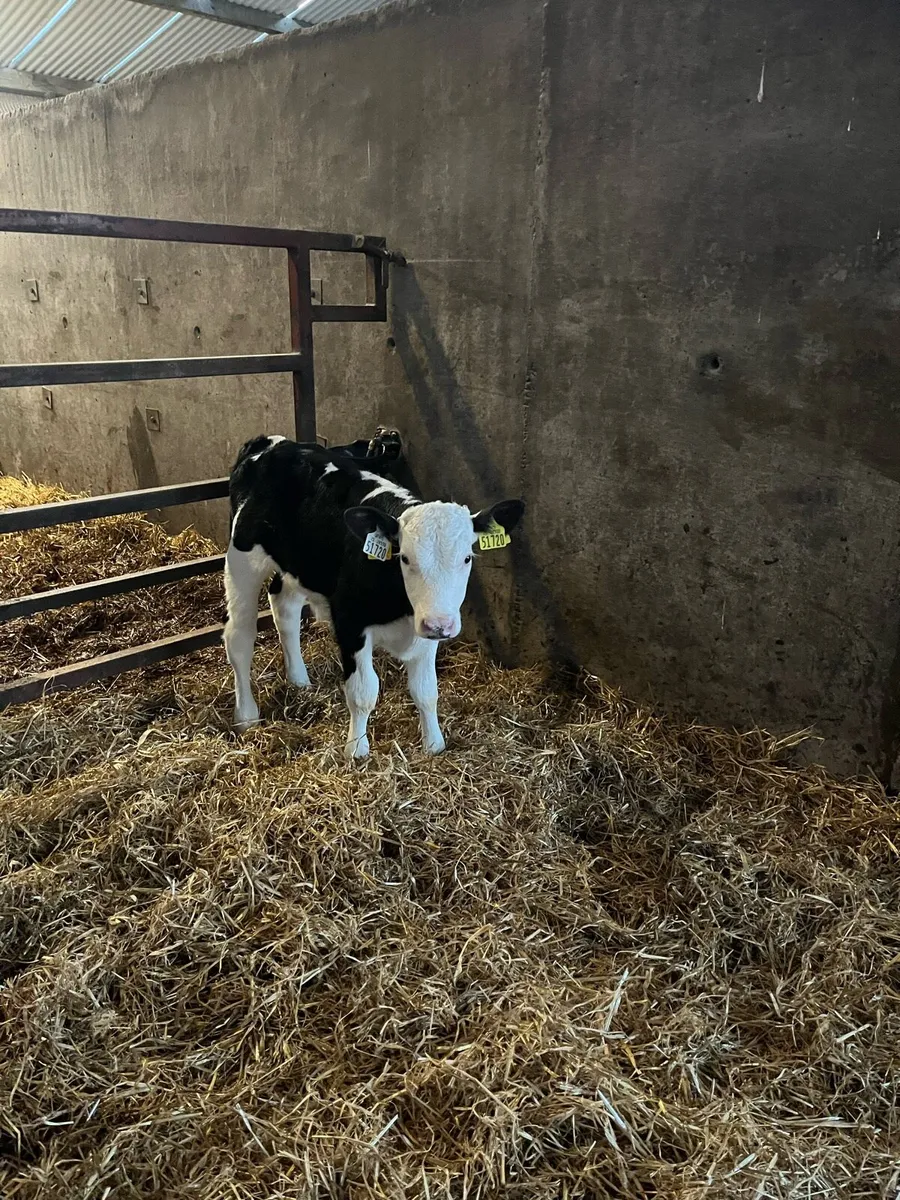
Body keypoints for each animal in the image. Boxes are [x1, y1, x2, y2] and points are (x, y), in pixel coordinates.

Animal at [223, 434, 524, 759]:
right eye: (405, 558)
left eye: (467, 557)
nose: (439, 625)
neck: (401, 607)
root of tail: (270, 442)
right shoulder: (349, 621)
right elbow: (363, 690)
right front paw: (356, 749)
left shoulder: (427, 625)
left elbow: (427, 690)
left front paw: (433, 743)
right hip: (242, 558)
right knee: (239, 637)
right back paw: (246, 716)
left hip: (299, 565)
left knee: (284, 608)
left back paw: (300, 680)